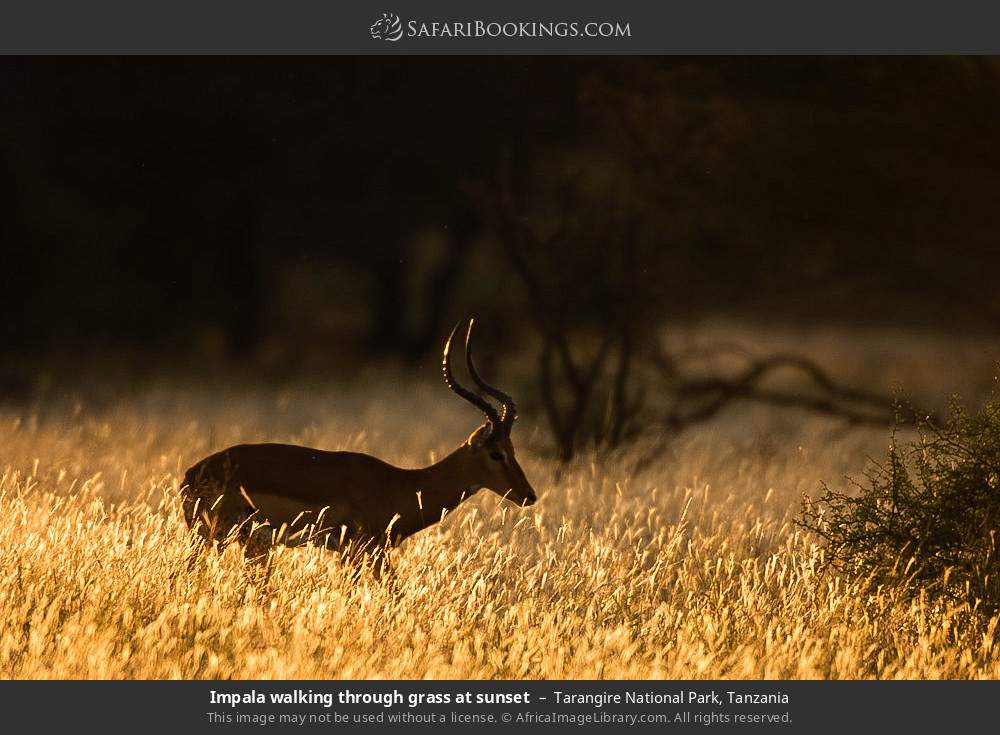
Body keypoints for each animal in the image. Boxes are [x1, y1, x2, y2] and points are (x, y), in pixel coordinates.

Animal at [180, 319, 537, 569]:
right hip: (219, 538)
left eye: (514, 450)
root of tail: (192, 475)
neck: (402, 484)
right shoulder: (360, 551)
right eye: (496, 453)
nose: (529, 496)